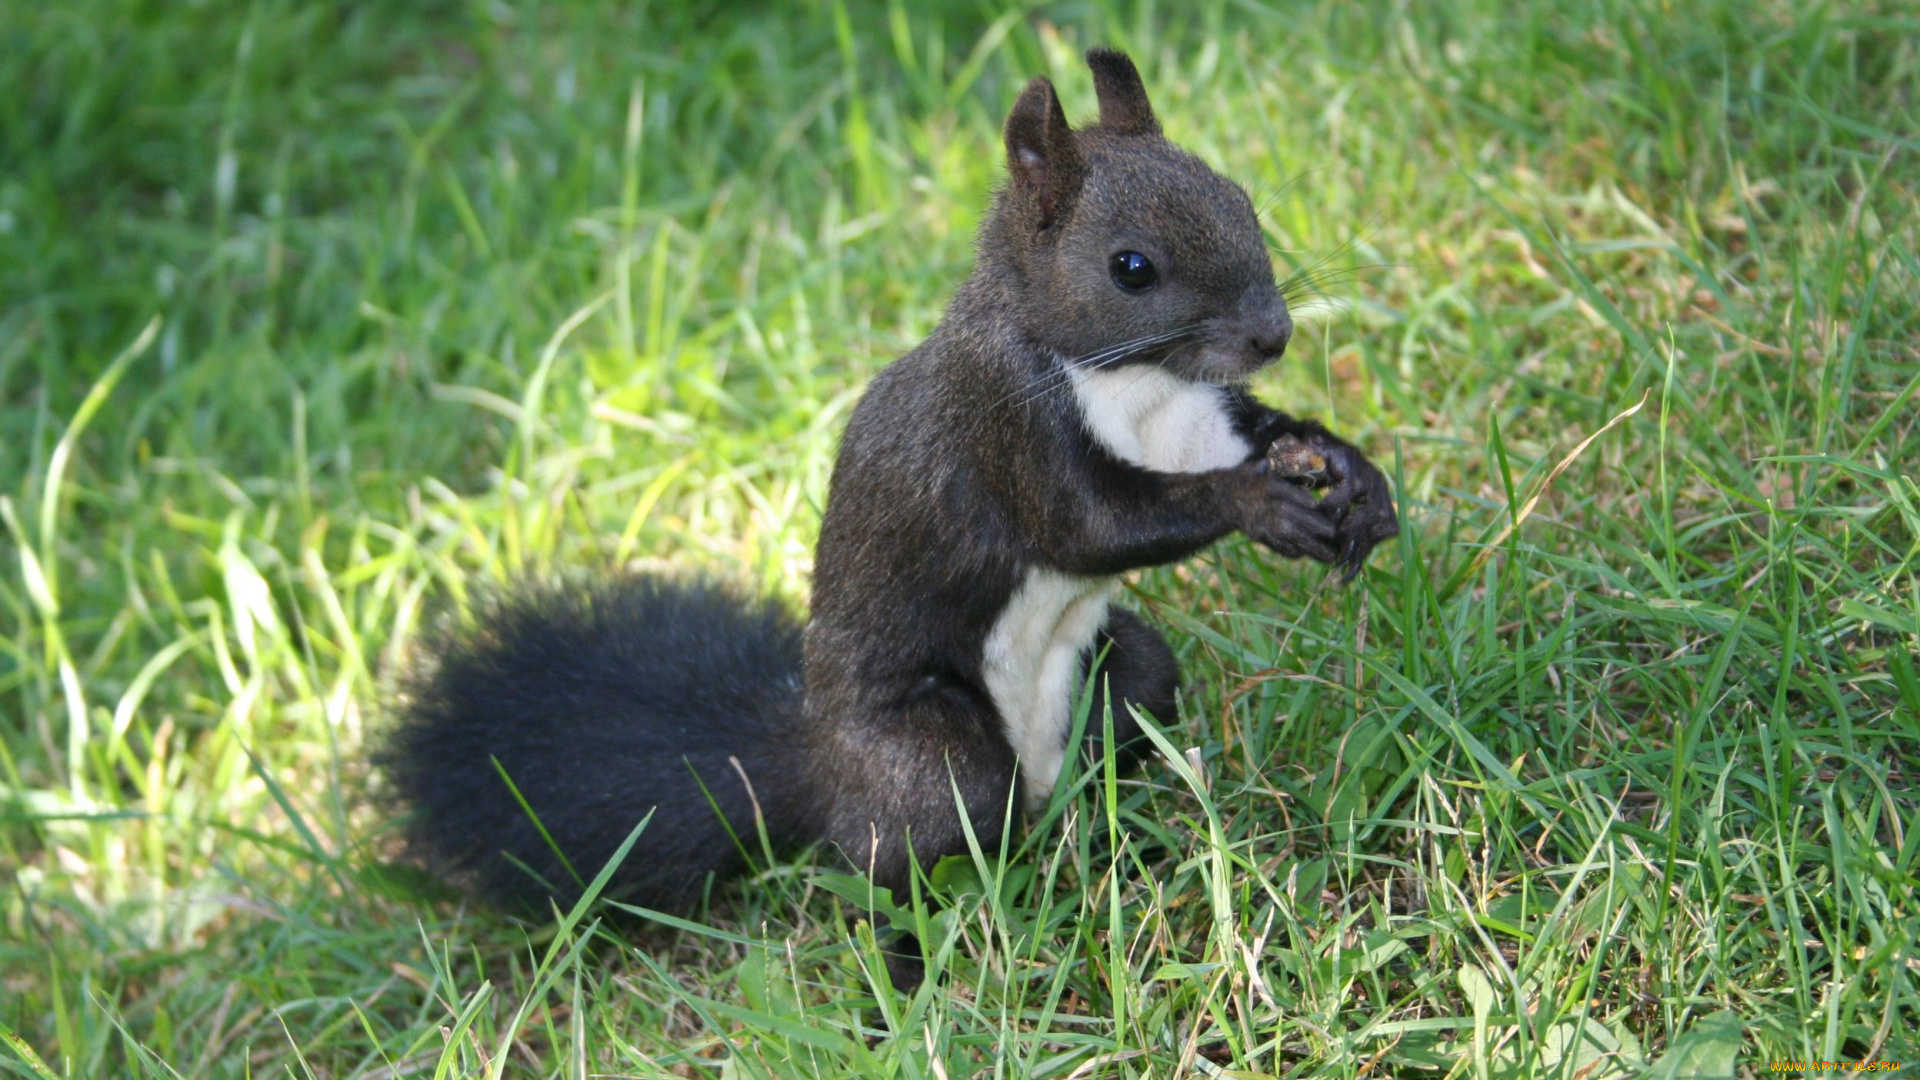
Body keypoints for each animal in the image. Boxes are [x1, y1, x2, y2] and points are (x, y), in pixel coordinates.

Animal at [378, 52, 1397, 991]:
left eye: (1239, 197)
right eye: (1131, 267)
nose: (1273, 334)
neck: (1135, 386)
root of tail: (820, 767)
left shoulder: (1201, 419)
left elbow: (1251, 438)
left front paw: (1350, 470)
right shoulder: (1005, 428)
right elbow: (1093, 528)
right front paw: (1257, 502)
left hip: (1122, 679)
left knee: (1115, 726)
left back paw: (1130, 857)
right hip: (928, 757)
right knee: (895, 865)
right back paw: (908, 977)